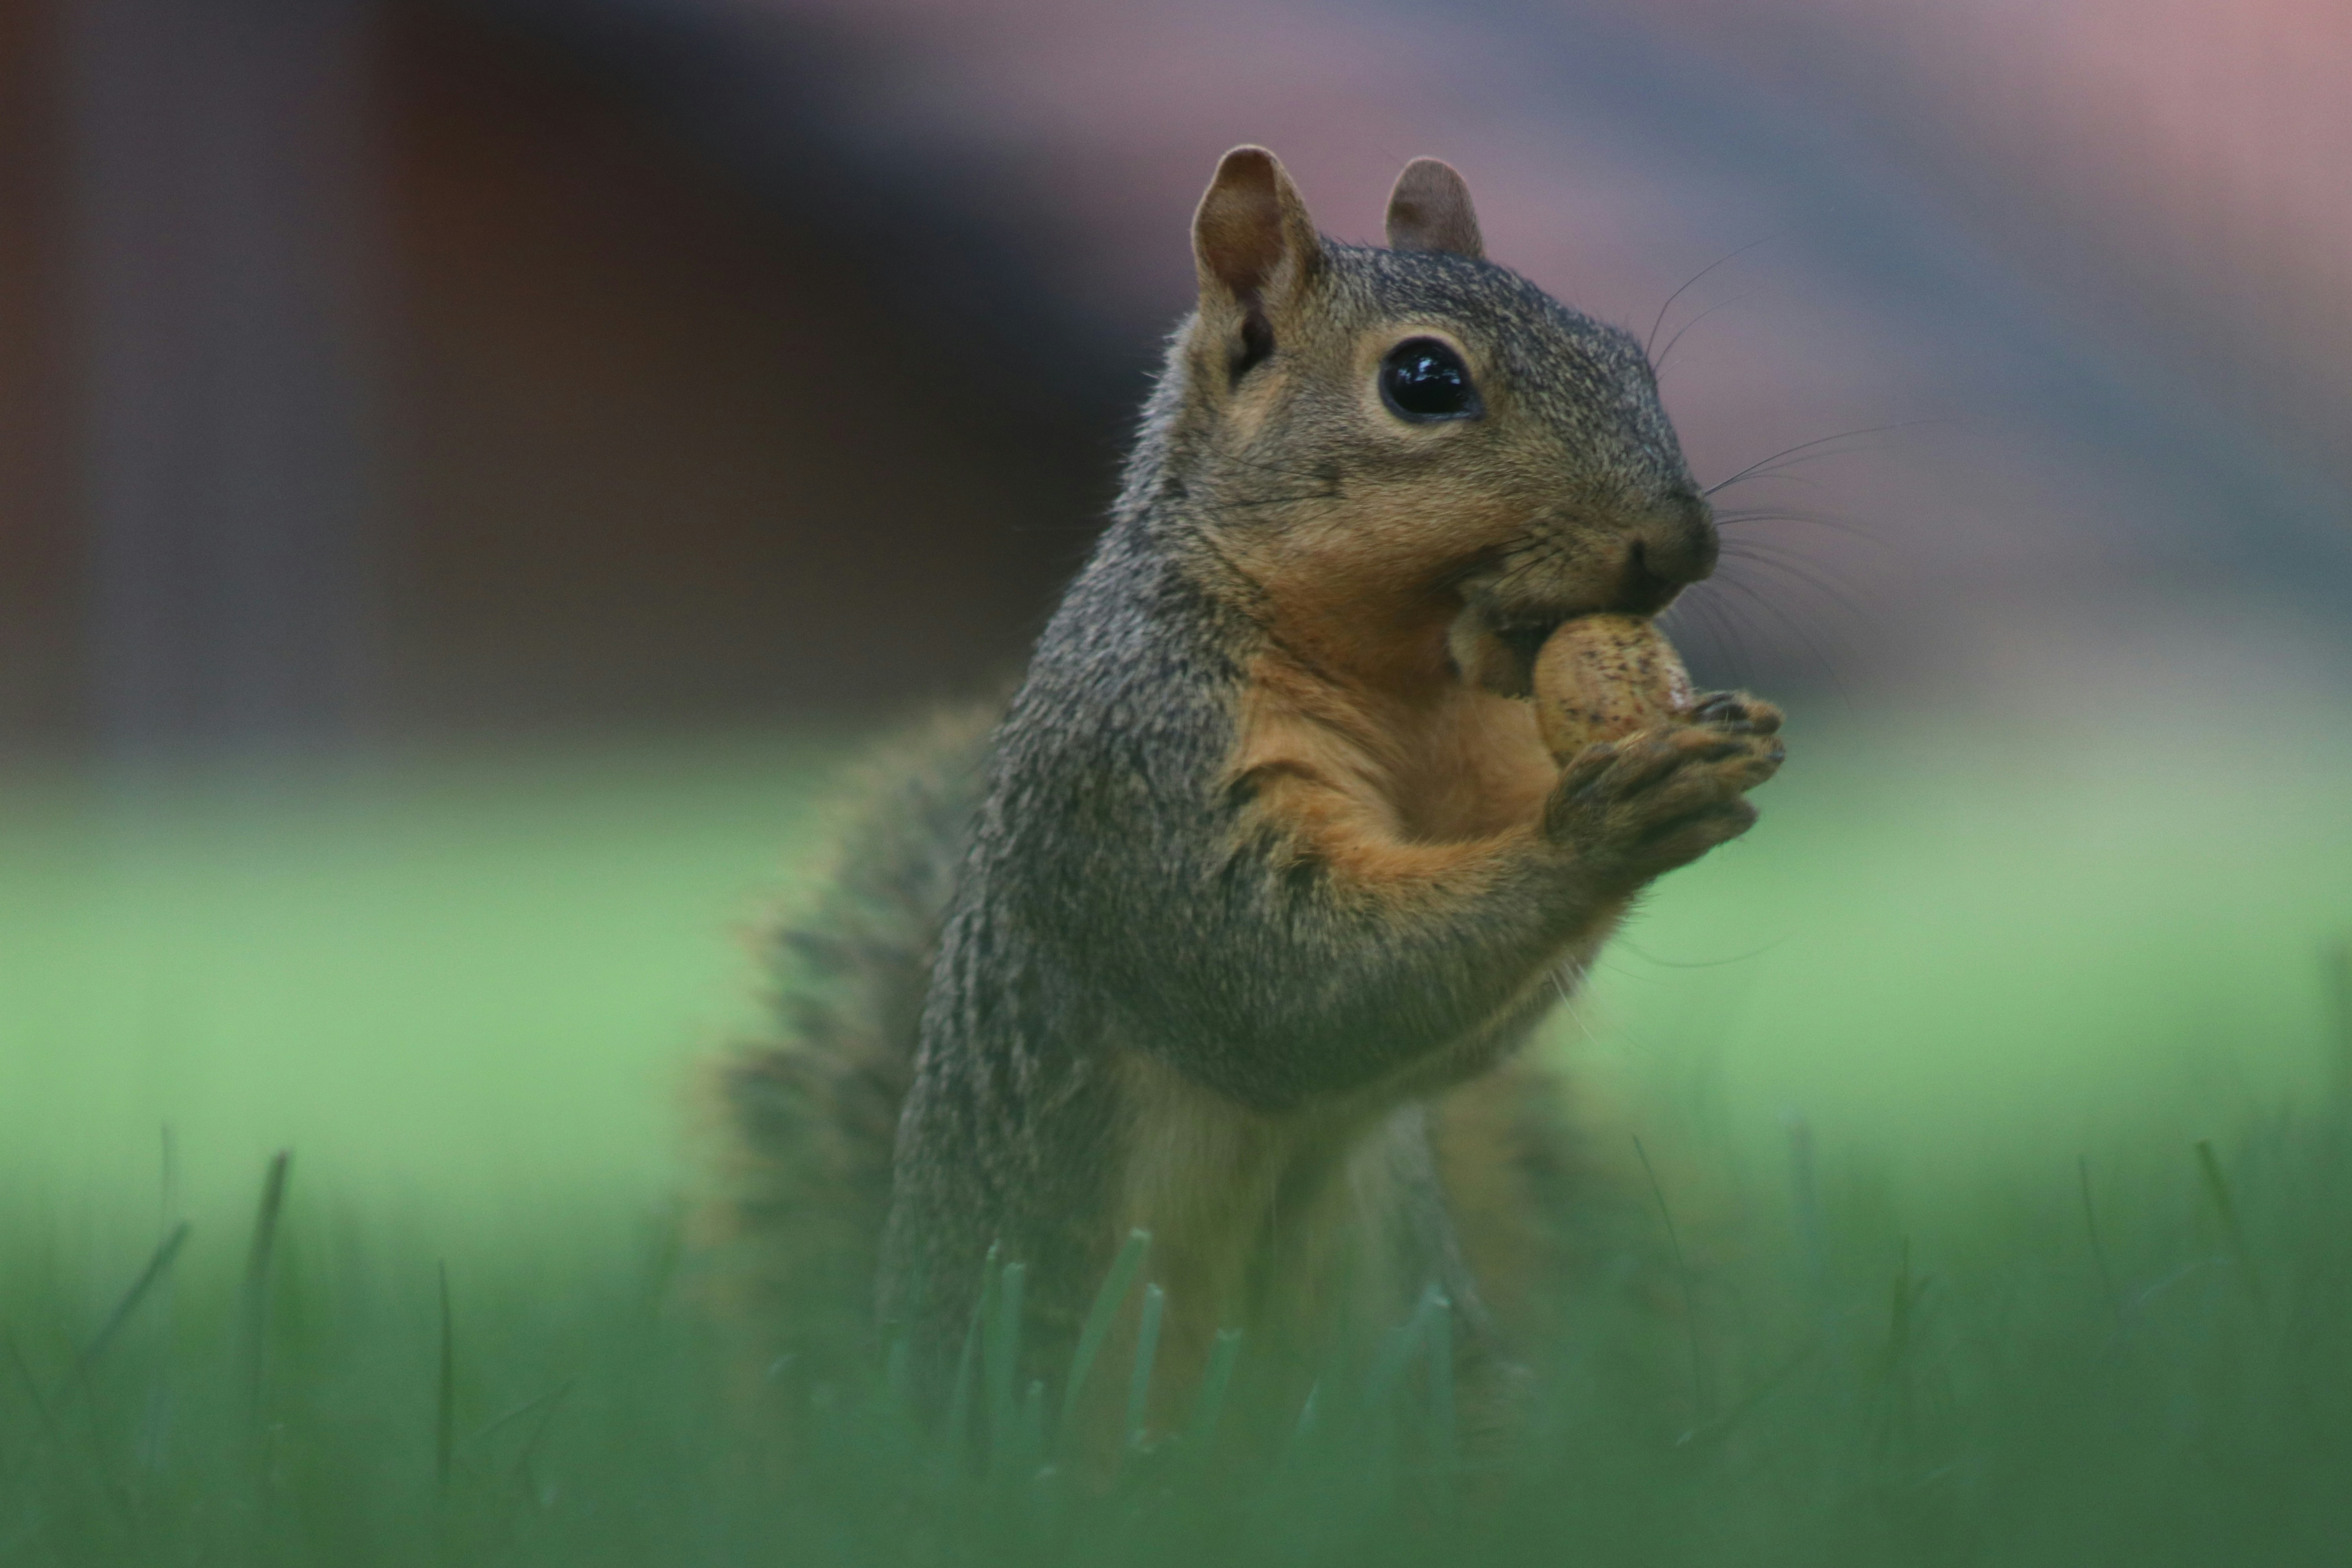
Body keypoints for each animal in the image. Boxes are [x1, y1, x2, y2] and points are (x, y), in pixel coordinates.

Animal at [703, 147, 1784, 1442]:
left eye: (1628, 352)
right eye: (1425, 381)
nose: (1683, 543)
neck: (1404, 680)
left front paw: (1714, 745)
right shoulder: (1138, 758)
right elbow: (1279, 979)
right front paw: (1608, 825)